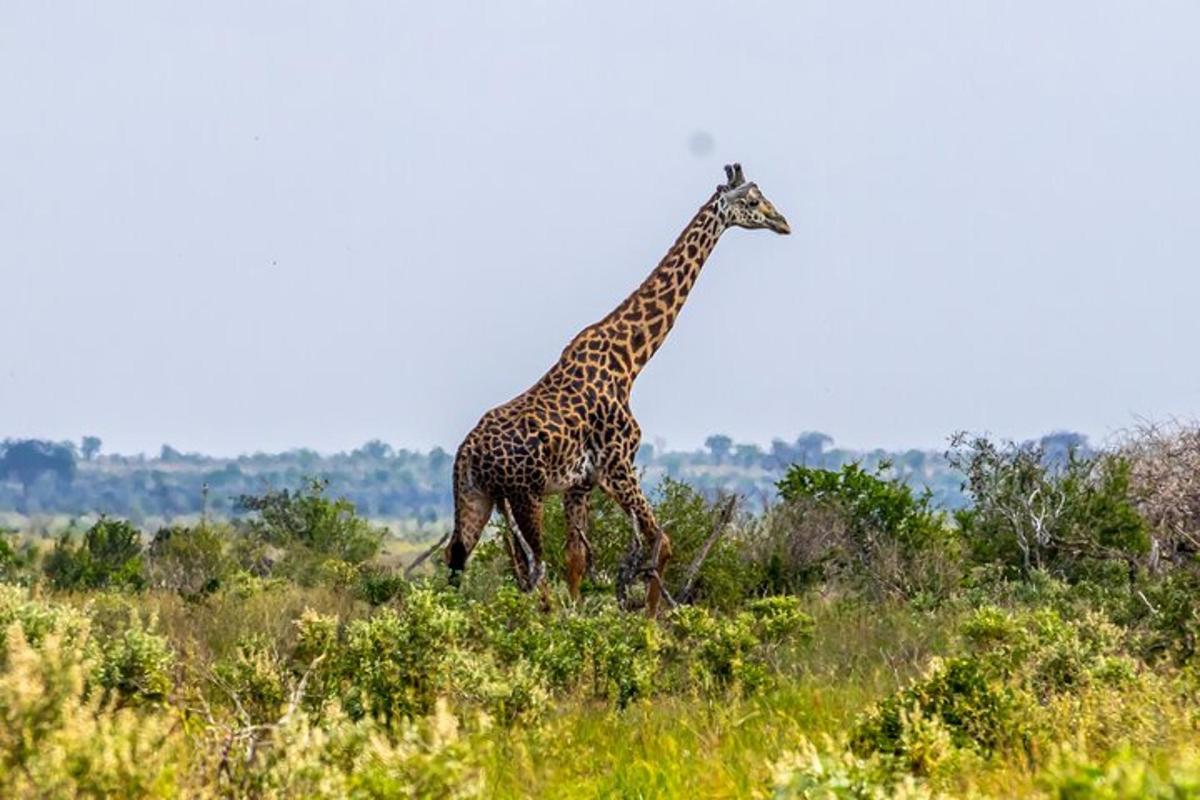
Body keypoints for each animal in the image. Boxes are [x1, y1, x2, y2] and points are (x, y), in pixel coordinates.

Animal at [446, 160, 792, 614]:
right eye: (752, 201)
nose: (782, 222)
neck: (630, 361)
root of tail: (467, 452)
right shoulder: (618, 466)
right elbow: (661, 540)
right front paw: (651, 620)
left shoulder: (581, 483)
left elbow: (577, 558)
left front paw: (579, 616)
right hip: (525, 495)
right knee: (532, 568)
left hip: (477, 496)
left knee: (461, 563)